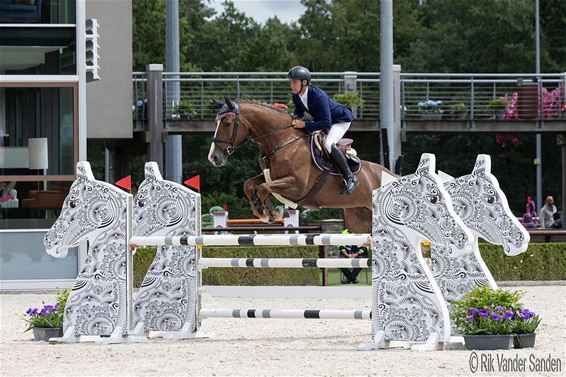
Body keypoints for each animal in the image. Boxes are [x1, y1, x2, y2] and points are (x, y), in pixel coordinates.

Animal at [209, 97, 394, 232]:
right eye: (216, 123)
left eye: (227, 124)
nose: (214, 158)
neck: (284, 141)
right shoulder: (270, 175)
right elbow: (250, 185)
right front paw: (262, 211)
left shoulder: (297, 186)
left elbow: (263, 188)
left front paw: (270, 212)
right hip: (359, 219)